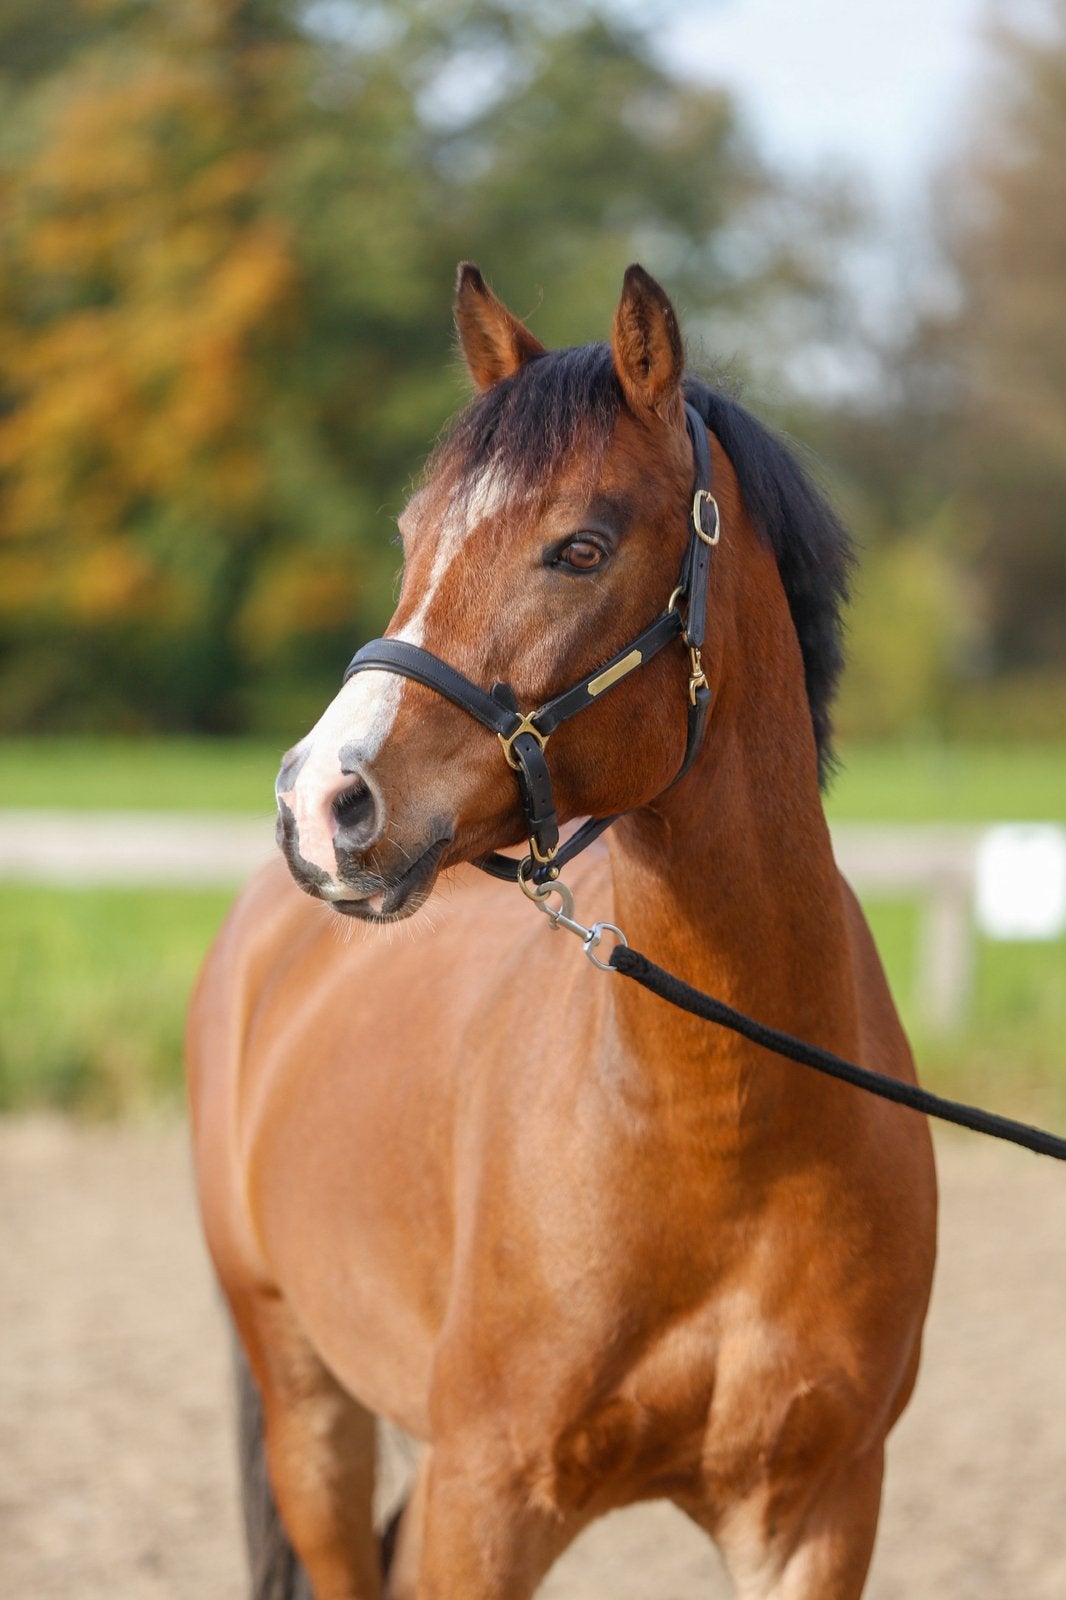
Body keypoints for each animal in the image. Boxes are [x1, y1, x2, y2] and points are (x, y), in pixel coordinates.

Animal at [187, 263, 937, 1600]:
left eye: (579, 547)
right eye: (411, 535)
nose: (321, 801)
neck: (729, 1136)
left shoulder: (817, 1512)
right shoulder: (486, 1504)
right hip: (307, 1405)